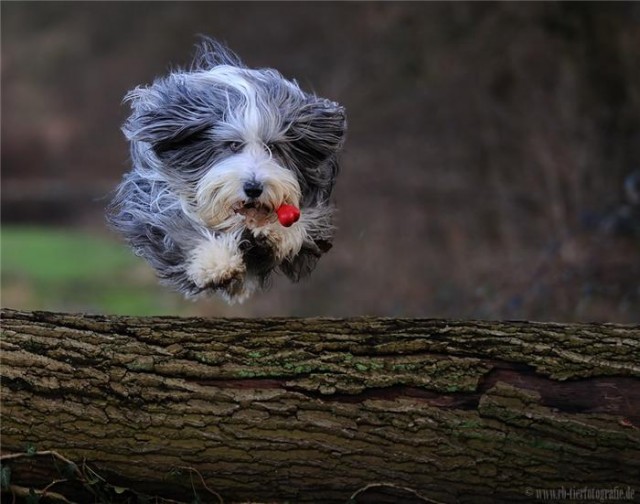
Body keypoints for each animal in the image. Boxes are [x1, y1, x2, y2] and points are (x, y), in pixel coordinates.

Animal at [110, 38, 348, 304]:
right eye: (233, 145)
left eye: (274, 147)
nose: (253, 188)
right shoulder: (154, 198)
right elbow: (179, 225)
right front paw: (216, 263)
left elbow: (303, 220)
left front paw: (276, 233)